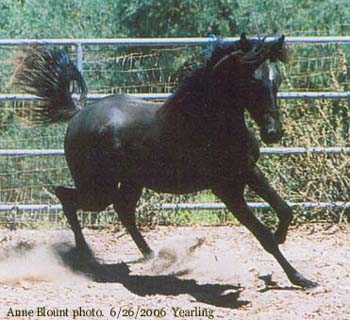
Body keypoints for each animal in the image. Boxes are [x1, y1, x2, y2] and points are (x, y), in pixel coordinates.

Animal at [13, 33, 316, 288]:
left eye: (277, 79)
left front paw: (283, 241)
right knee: (66, 196)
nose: (273, 132)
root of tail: (77, 115)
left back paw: (150, 254)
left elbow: (285, 210)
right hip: (97, 190)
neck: (208, 123)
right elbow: (262, 234)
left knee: (123, 210)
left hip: (130, 183)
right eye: (252, 80)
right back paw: (86, 255)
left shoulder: (248, 172)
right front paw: (301, 278)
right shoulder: (226, 189)